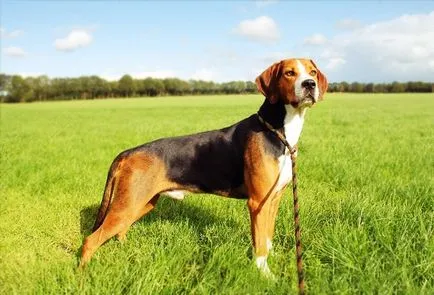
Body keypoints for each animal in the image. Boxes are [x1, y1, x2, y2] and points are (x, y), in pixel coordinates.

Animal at [79, 58, 328, 278]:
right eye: (289, 73)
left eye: (312, 72)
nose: (309, 84)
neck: (277, 131)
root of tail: (129, 152)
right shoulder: (258, 202)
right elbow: (259, 244)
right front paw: (265, 275)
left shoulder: (273, 199)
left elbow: (267, 236)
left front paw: (274, 259)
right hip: (128, 203)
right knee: (91, 240)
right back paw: (82, 274)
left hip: (142, 202)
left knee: (120, 230)